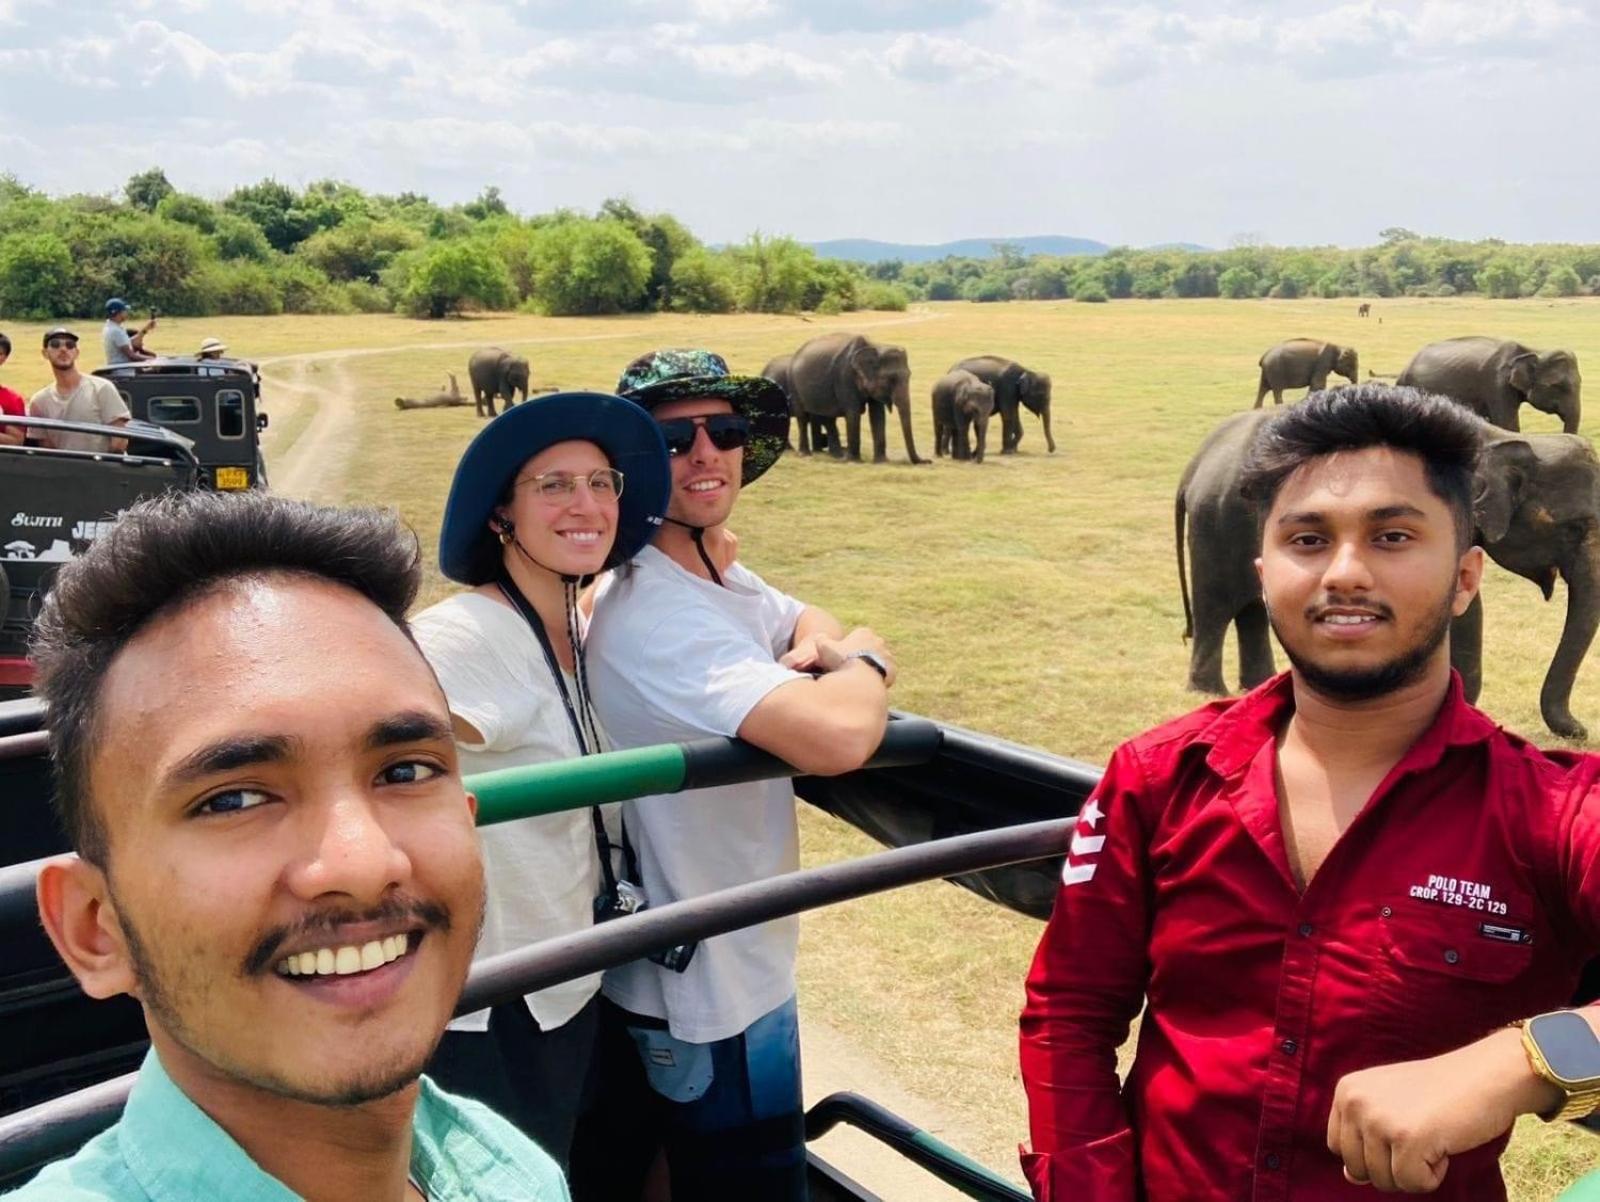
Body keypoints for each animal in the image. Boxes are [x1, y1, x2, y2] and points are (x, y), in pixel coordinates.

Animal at [784, 334, 928, 464]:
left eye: (909, 375)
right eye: (890, 379)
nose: (927, 461)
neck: (875, 347)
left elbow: (878, 414)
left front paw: (882, 462)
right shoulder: (845, 377)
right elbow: (853, 413)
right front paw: (854, 461)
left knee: (828, 419)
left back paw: (837, 456)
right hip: (793, 384)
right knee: (802, 417)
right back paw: (806, 455)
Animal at [1171, 409, 1600, 739]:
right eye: (1574, 527)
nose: (1580, 731)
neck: (1506, 437)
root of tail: (1194, 466)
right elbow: (1467, 609)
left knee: (1252, 612)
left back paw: (1255, 686)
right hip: (1214, 526)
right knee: (1215, 606)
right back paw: (1210, 691)